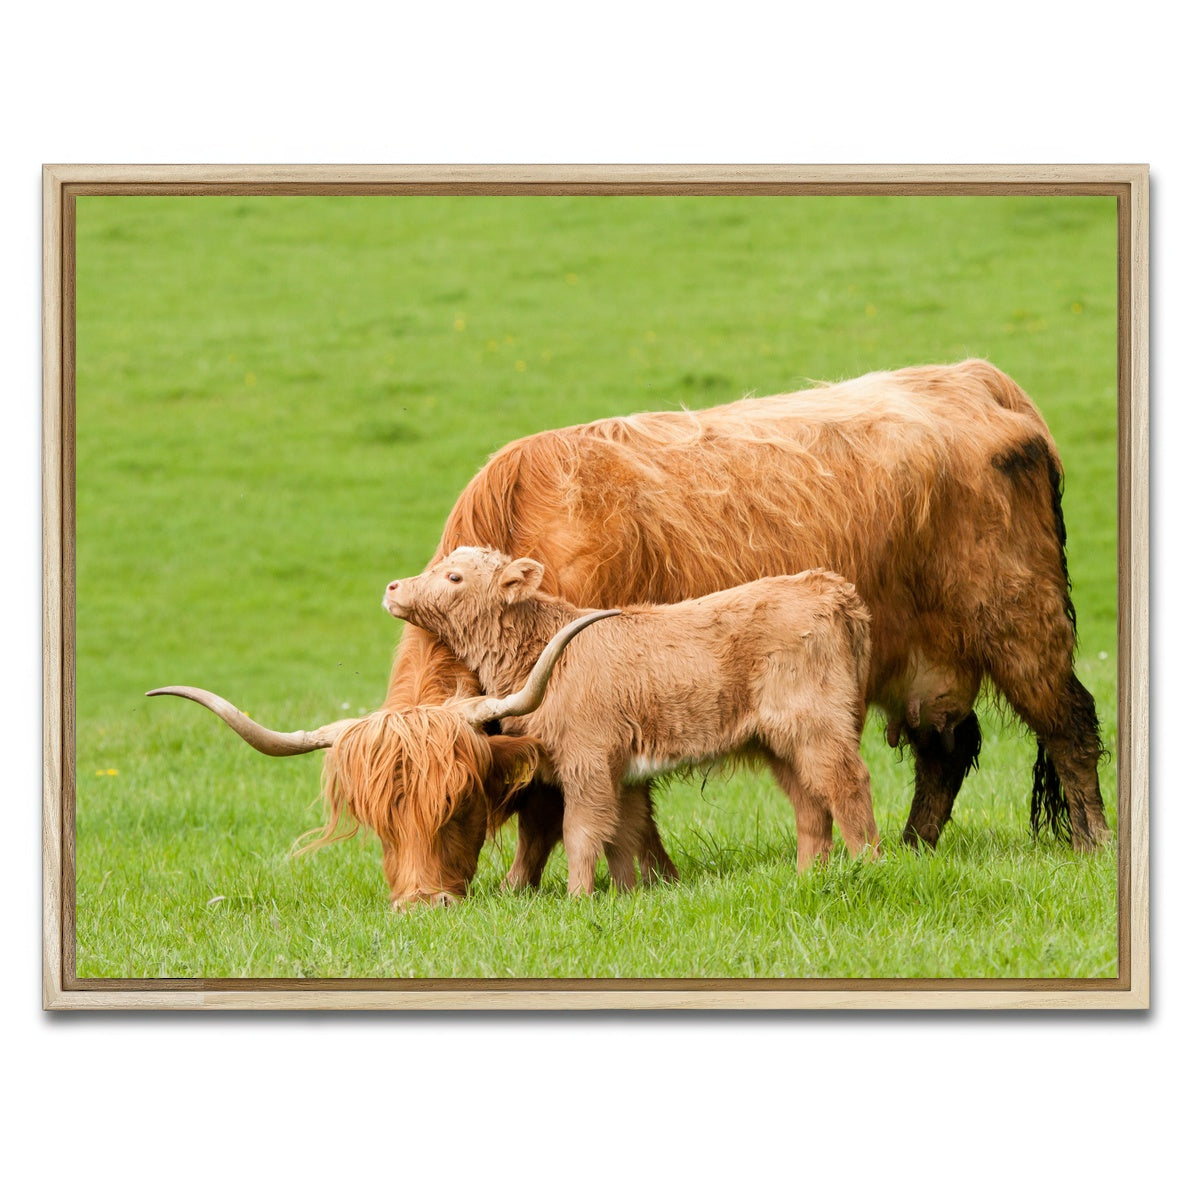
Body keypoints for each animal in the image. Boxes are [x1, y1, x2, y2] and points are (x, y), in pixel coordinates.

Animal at [384, 548, 878, 895]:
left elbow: (582, 831)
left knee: (846, 786)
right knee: (810, 805)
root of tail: (829, 586)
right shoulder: (623, 774)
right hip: (781, 743)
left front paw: (578, 899)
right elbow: (624, 833)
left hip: (818, 726)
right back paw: (807, 878)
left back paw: (868, 866)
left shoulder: (587, 762)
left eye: (454, 576)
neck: (544, 649)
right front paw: (627, 895)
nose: (392, 587)